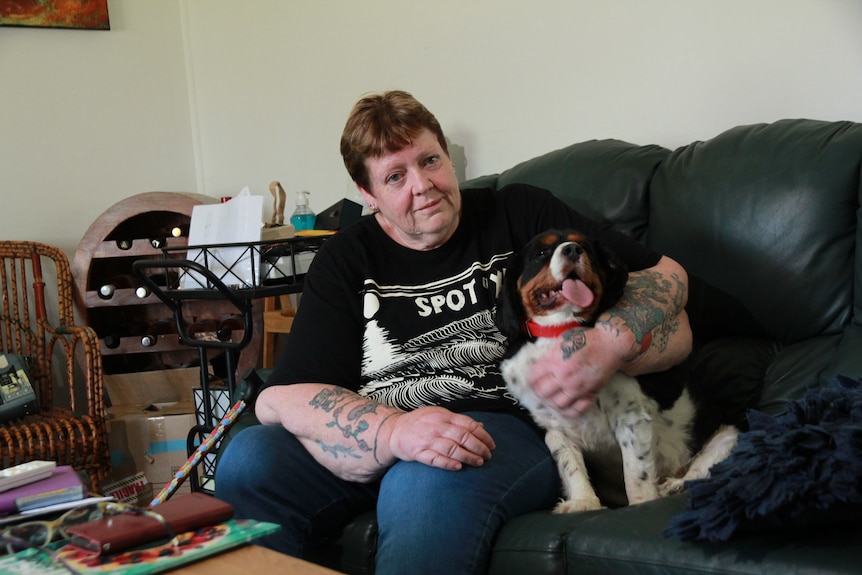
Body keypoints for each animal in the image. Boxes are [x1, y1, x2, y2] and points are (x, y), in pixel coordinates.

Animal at [496, 230, 740, 512]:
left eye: (586, 248)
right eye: (542, 253)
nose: (573, 250)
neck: (563, 332)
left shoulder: (631, 419)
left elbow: (635, 475)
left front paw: (641, 506)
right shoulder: (554, 428)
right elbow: (571, 465)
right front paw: (583, 502)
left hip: (728, 435)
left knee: (703, 468)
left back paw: (676, 484)